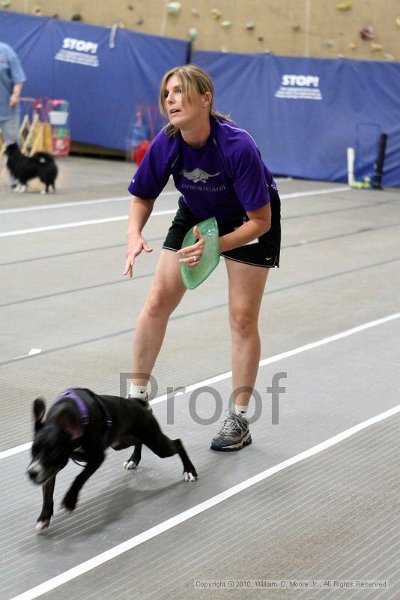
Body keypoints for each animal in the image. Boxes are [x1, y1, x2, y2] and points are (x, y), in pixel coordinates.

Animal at [26, 386, 198, 532]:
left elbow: (79, 478)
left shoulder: (97, 458)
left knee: (177, 443)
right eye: (33, 451)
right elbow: (47, 492)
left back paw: (189, 470)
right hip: (123, 441)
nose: (31, 472)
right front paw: (44, 517)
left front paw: (70, 501)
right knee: (139, 441)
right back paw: (134, 459)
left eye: (52, 453)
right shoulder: (50, 470)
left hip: (156, 443)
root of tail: (137, 404)